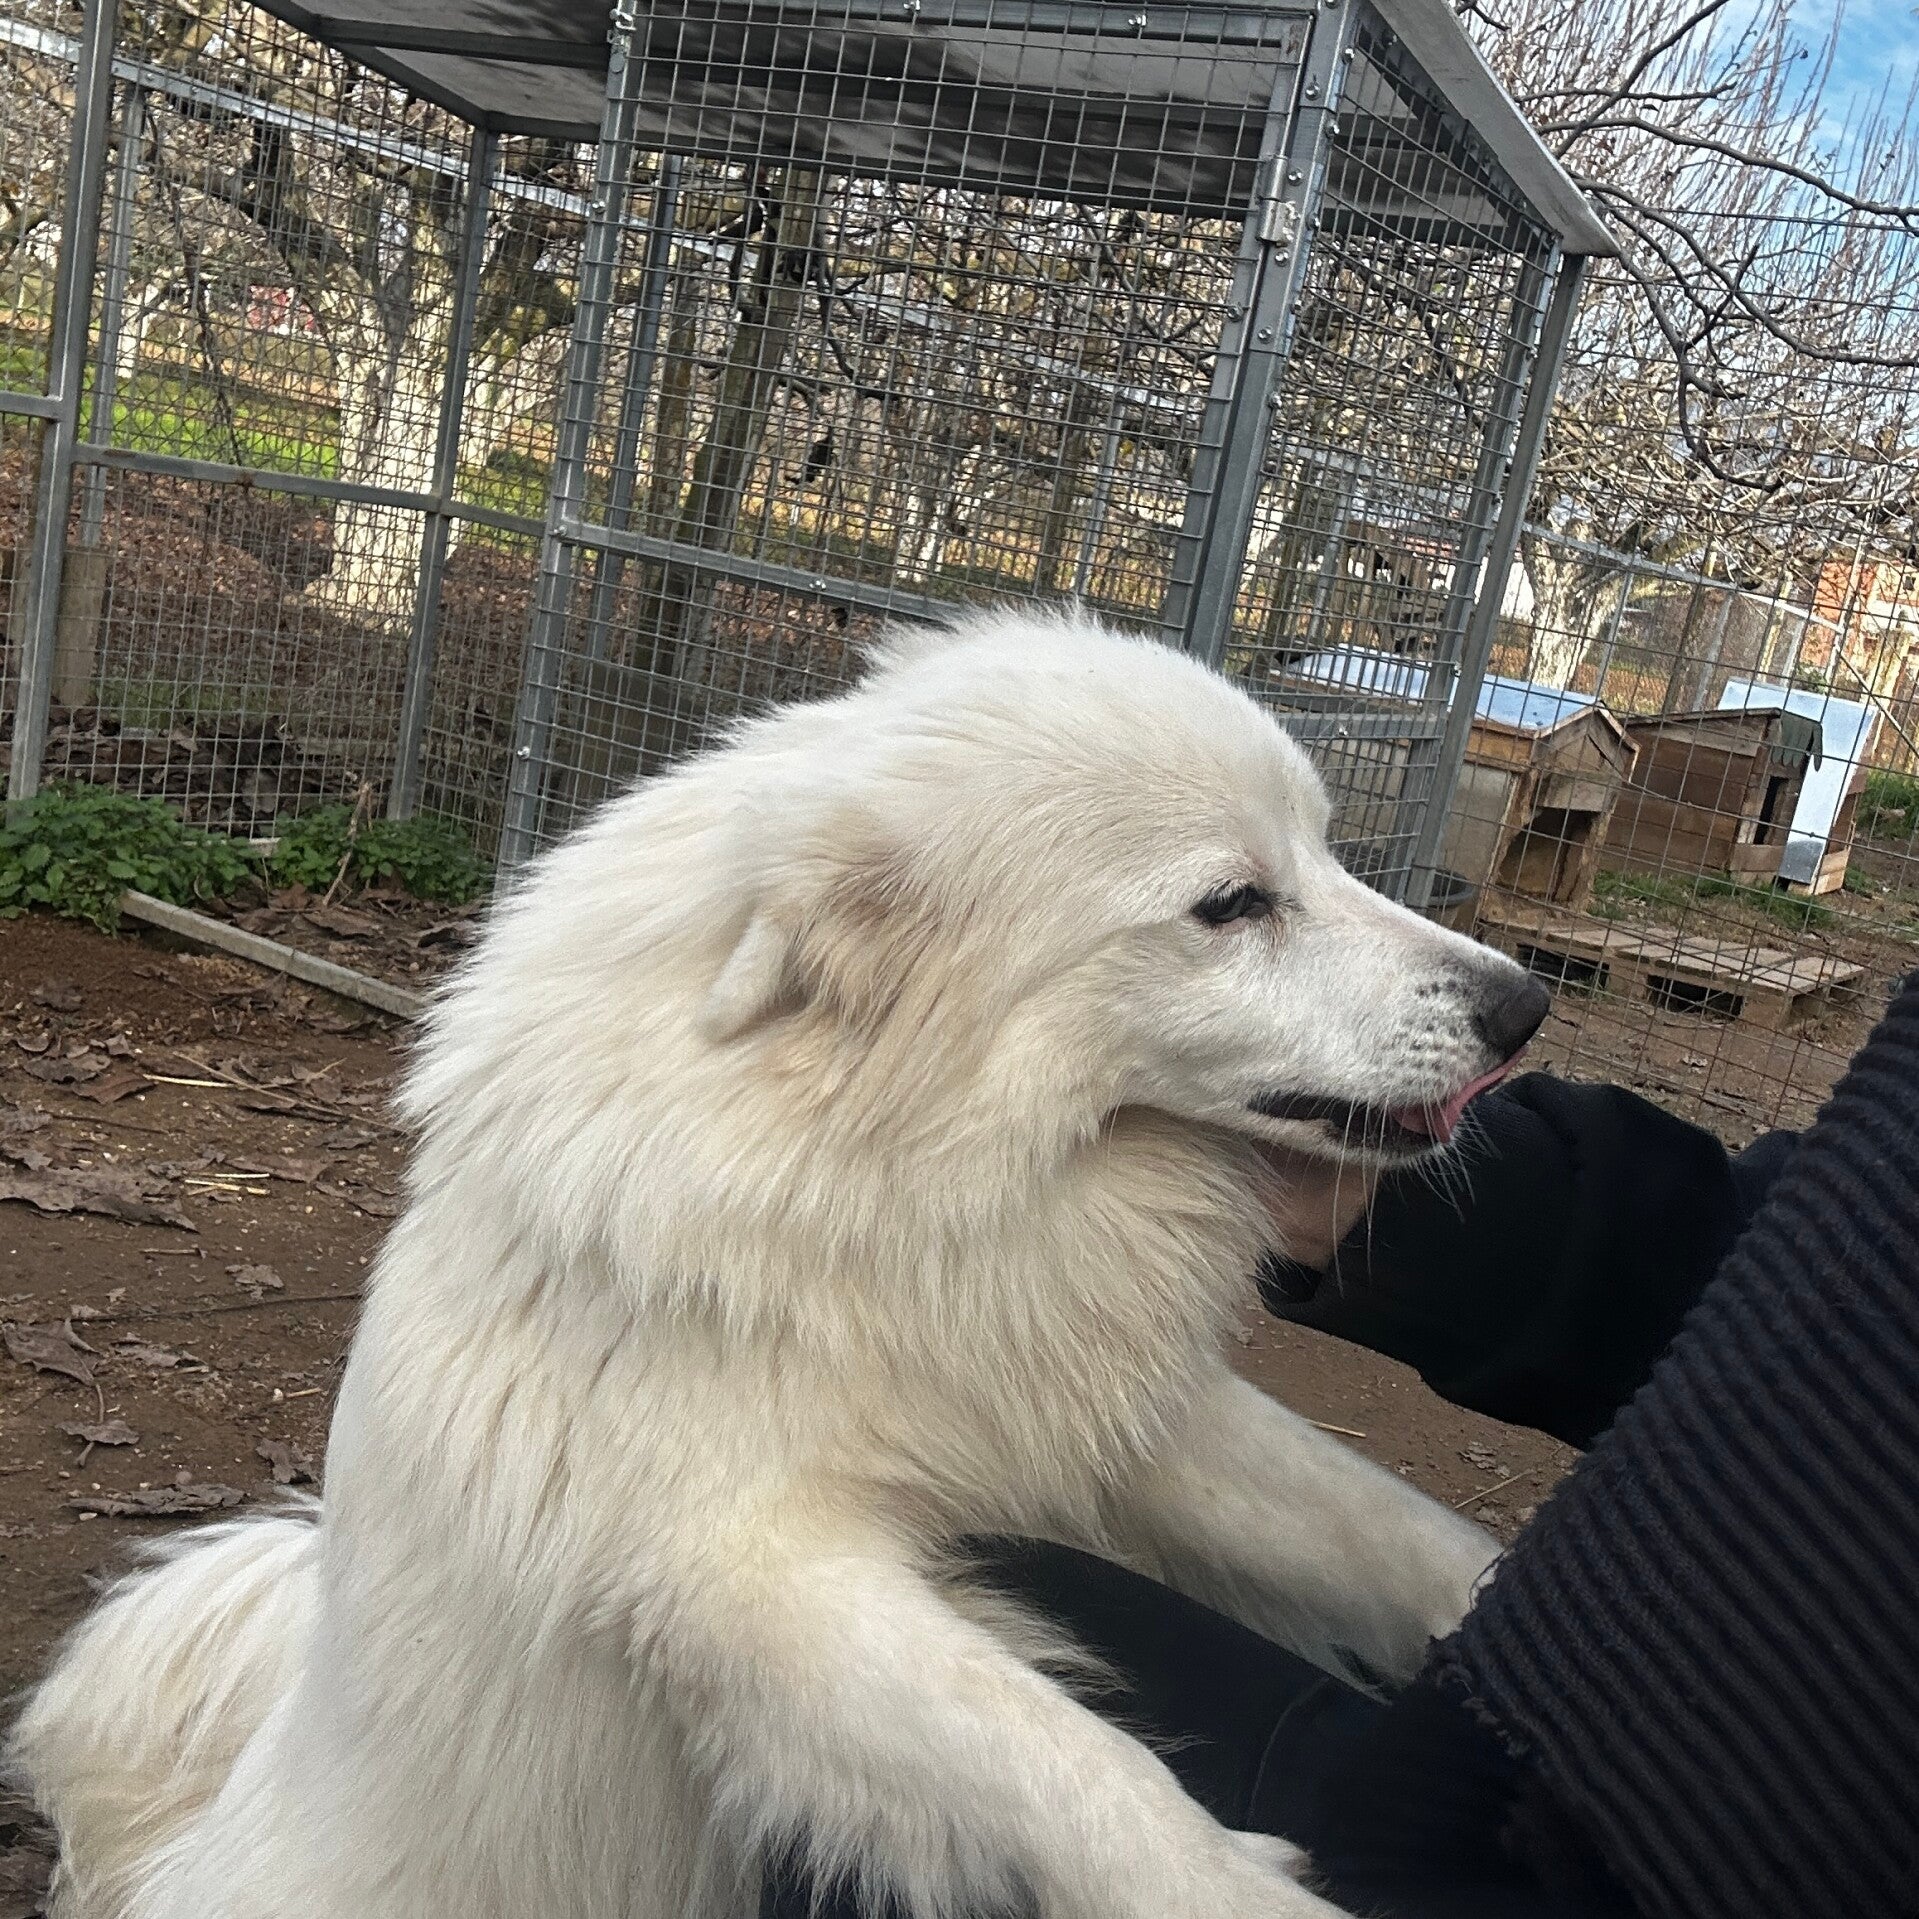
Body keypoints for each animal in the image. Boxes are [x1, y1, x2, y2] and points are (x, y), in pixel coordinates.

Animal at [13, 609, 1549, 1919]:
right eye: (1230, 903)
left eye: (1326, 853)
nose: (1522, 1006)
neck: (890, 1175)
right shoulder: (751, 1575)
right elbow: (1063, 1759)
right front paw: (1242, 1889)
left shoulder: (1108, 1419)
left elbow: (1386, 1528)